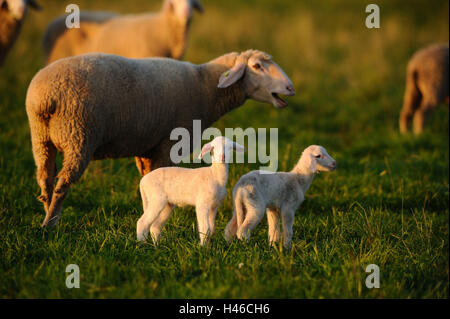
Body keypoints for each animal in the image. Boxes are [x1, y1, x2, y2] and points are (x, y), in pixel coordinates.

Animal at [26, 49, 298, 228]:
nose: (290, 88)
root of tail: (45, 96)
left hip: (41, 139)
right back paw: (50, 224)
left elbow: (147, 177)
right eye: (257, 67)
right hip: (79, 135)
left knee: (45, 178)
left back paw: (46, 211)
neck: (206, 87)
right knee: (63, 183)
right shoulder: (168, 143)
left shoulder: (148, 146)